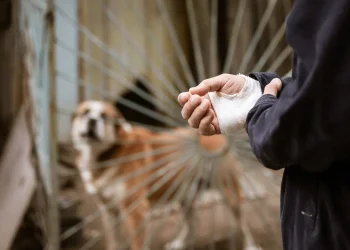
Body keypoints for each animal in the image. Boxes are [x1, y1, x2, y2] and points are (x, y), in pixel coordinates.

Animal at [71, 100, 245, 250]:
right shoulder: (107, 210)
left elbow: (138, 244)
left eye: (104, 116)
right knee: (192, 221)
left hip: (229, 192)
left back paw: (249, 245)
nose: (92, 120)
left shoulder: (136, 211)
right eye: (85, 113)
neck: (107, 154)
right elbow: (112, 242)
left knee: (243, 224)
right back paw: (179, 243)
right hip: (184, 196)